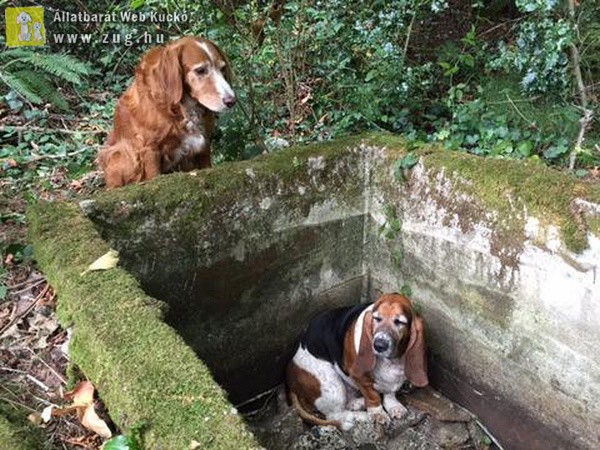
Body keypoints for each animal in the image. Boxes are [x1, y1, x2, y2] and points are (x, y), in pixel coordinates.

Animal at [98, 36, 234, 188]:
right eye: (200, 70)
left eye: (222, 69)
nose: (232, 101)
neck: (180, 108)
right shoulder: (150, 149)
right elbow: (154, 176)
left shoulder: (204, 144)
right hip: (119, 154)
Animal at [286, 294, 426, 430]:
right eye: (377, 318)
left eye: (400, 322)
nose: (379, 345)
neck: (390, 361)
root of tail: (291, 380)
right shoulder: (360, 377)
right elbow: (373, 396)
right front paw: (377, 414)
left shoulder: (394, 379)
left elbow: (390, 393)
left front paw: (393, 406)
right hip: (332, 384)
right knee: (335, 415)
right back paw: (362, 416)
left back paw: (359, 403)